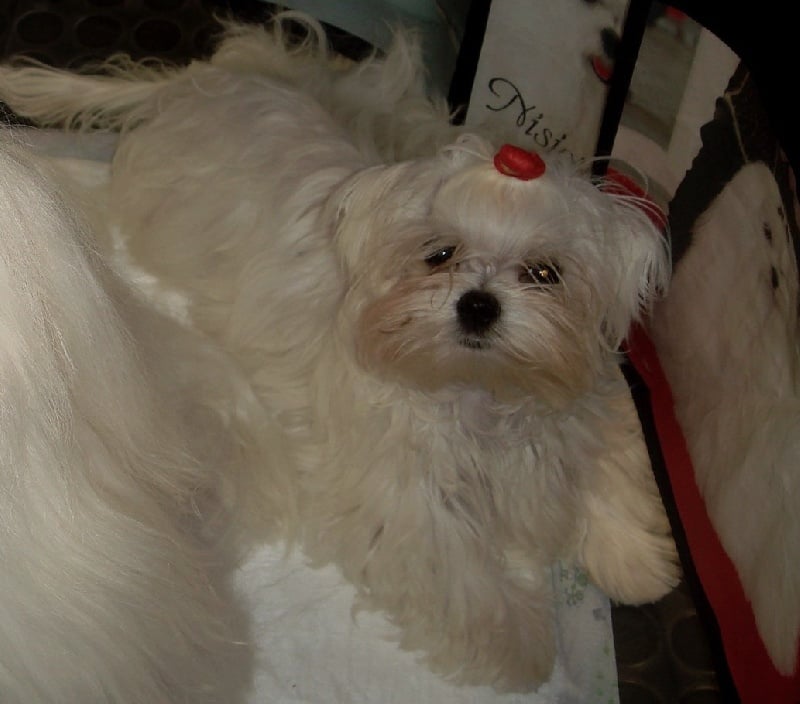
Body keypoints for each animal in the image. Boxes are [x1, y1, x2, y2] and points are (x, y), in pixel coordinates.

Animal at [0, 15, 679, 693]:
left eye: (545, 273)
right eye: (439, 254)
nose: (479, 305)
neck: (473, 386)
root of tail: (208, 83)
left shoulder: (585, 393)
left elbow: (616, 456)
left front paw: (640, 561)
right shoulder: (400, 499)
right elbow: (463, 580)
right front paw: (525, 650)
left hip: (388, 107)